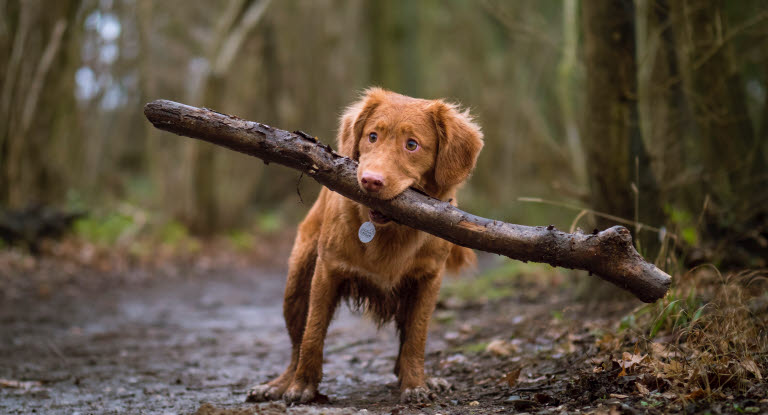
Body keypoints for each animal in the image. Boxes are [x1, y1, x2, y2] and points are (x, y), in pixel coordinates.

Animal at [249, 87, 484, 404]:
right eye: (372, 136)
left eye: (412, 145)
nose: (371, 181)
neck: (390, 231)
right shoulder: (327, 270)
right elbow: (313, 334)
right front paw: (302, 386)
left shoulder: (428, 280)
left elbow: (416, 338)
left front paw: (415, 384)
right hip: (297, 284)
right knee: (297, 343)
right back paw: (279, 384)